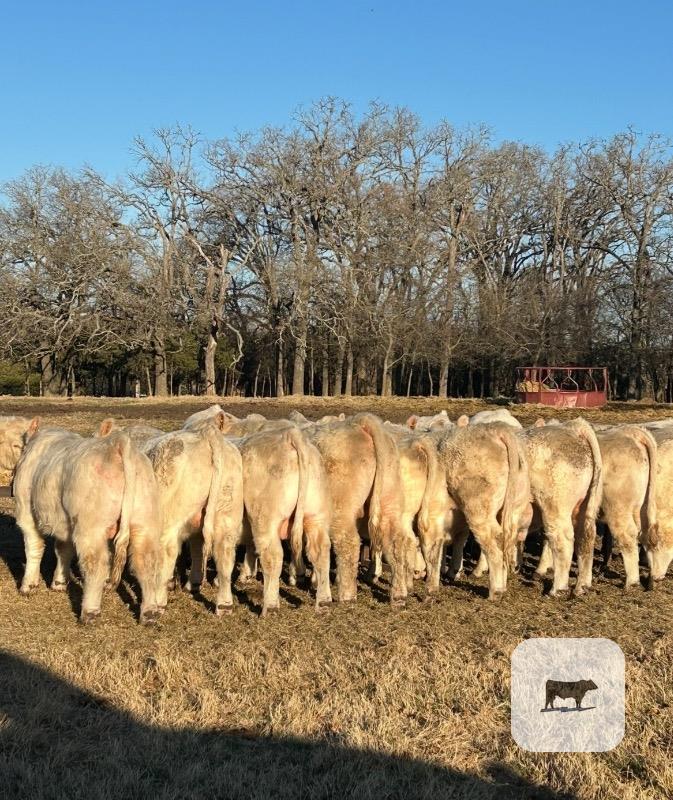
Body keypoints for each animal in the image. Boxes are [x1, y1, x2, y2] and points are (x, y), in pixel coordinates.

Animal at [3, 417, 162, 624]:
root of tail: (116, 444)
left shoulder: (26, 513)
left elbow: (34, 548)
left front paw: (28, 586)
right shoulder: (65, 524)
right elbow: (63, 550)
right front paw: (59, 582)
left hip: (91, 529)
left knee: (96, 566)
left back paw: (89, 613)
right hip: (144, 522)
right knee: (146, 563)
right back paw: (149, 614)